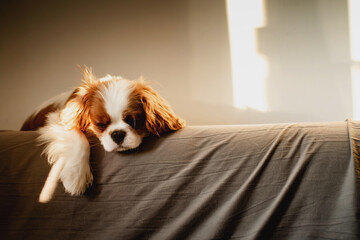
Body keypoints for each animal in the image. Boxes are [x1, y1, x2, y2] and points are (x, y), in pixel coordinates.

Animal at [21, 67, 186, 202]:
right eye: (101, 125)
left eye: (132, 121)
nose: (117, 134)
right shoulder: (57, 120)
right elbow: (78, 137)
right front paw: (76, 175)